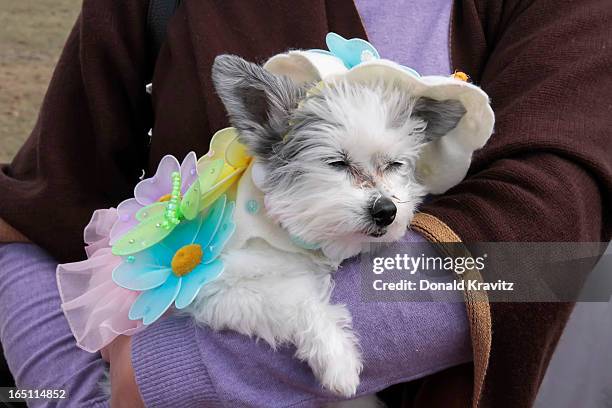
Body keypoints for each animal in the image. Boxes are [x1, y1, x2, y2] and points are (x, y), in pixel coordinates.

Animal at [179, 55, 466, 404]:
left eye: (394, 165)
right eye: (337, 163)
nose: (386, 210)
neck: (289, 233)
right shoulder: (213, 287)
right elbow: (295, 300)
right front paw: (337, 358)